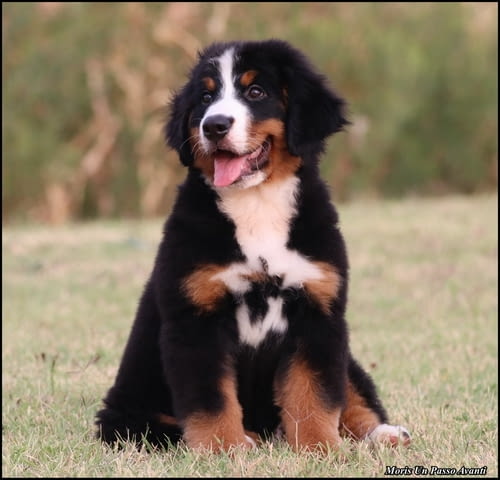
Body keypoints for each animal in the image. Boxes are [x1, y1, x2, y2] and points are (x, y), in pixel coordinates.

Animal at [95, 39, 412, 452]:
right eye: (206, 97)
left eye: (256, 92)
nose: (214, 125)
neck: (257, 203)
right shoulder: (196, 318)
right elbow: (212, 398)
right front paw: (223, 449)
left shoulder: (318, 313)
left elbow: (314, 395)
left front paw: (320, 449)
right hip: (128, 417)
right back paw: (250, 437)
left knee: (355, 396)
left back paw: (384, 434)